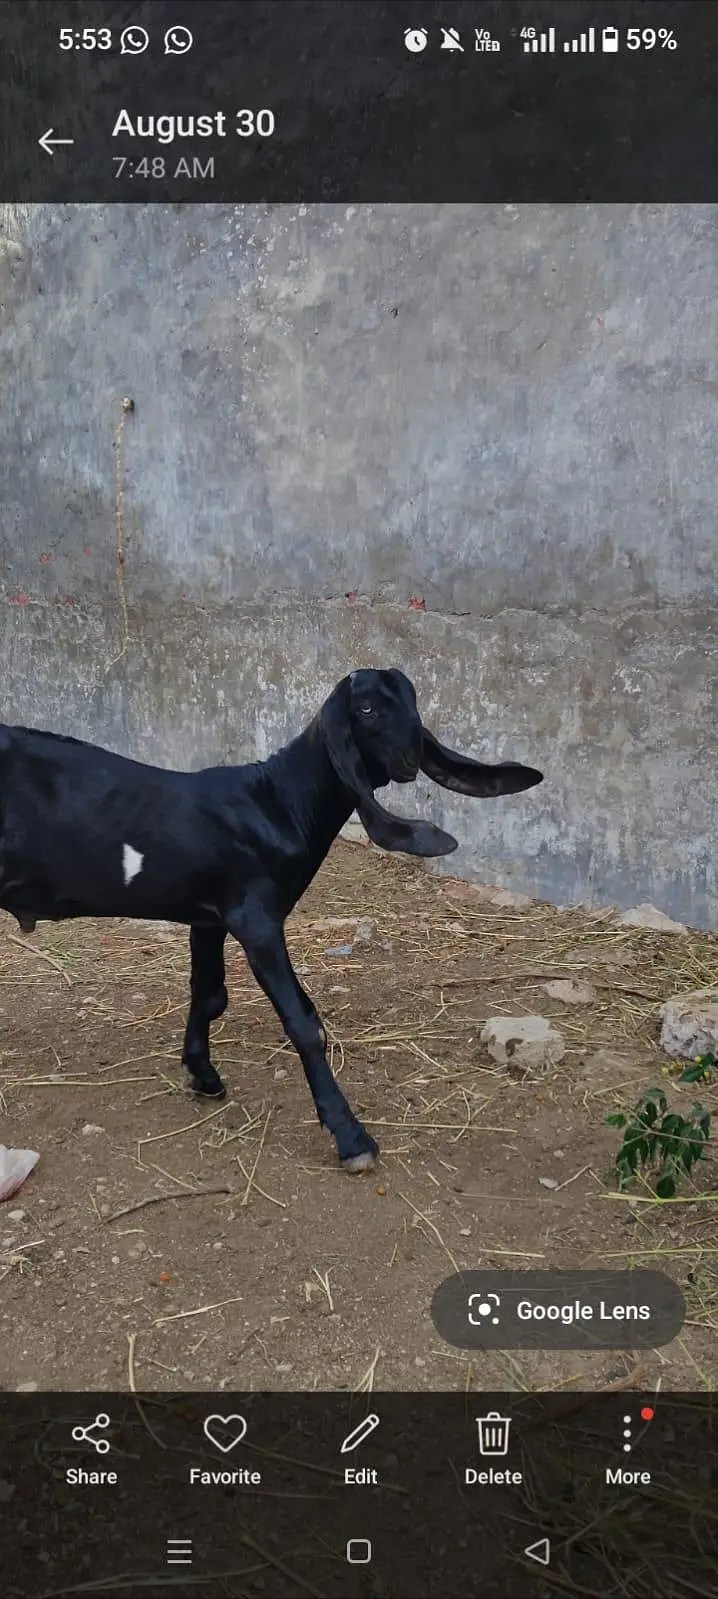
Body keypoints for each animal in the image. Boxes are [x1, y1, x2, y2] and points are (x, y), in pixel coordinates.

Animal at [0, 669, 542, 1171]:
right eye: (366, 709)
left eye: (412, 701)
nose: (411, 756)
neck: (276, 801)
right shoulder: (255, 917)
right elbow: (302, 1022)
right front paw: (351, 1138)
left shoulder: (210, 916)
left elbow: (211, 994)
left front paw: (203, 1074)